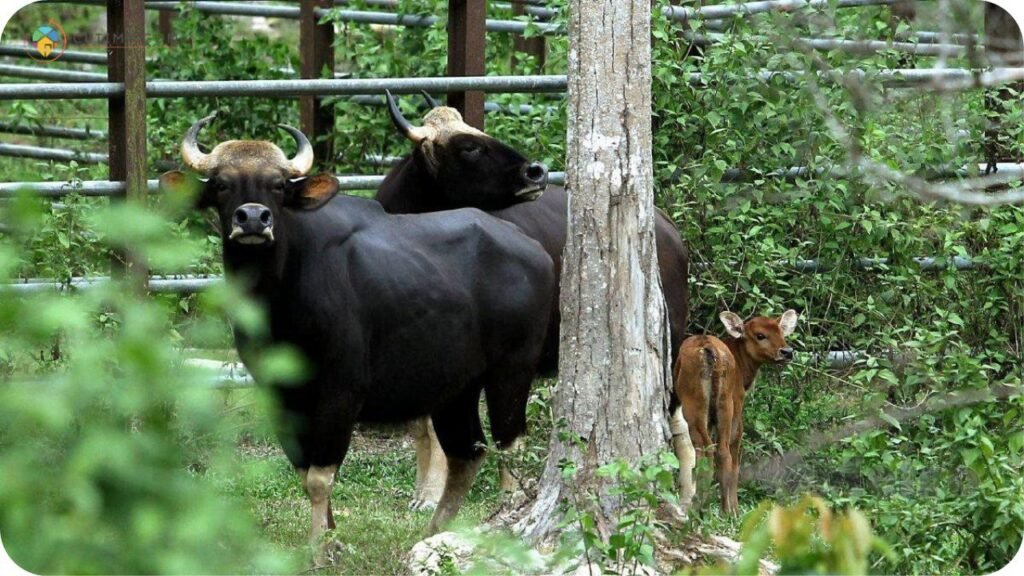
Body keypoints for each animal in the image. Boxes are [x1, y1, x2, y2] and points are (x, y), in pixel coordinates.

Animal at [671, 307, 798, 512]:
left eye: (781, 332)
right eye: (760, 335)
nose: (787, 351)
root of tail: (710, 349)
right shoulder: (737, 401)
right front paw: (735, 508)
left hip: (708, 404)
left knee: (714, 450)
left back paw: (713, 508)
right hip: (718, 404)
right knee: (718, 450)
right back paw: (720, 509)